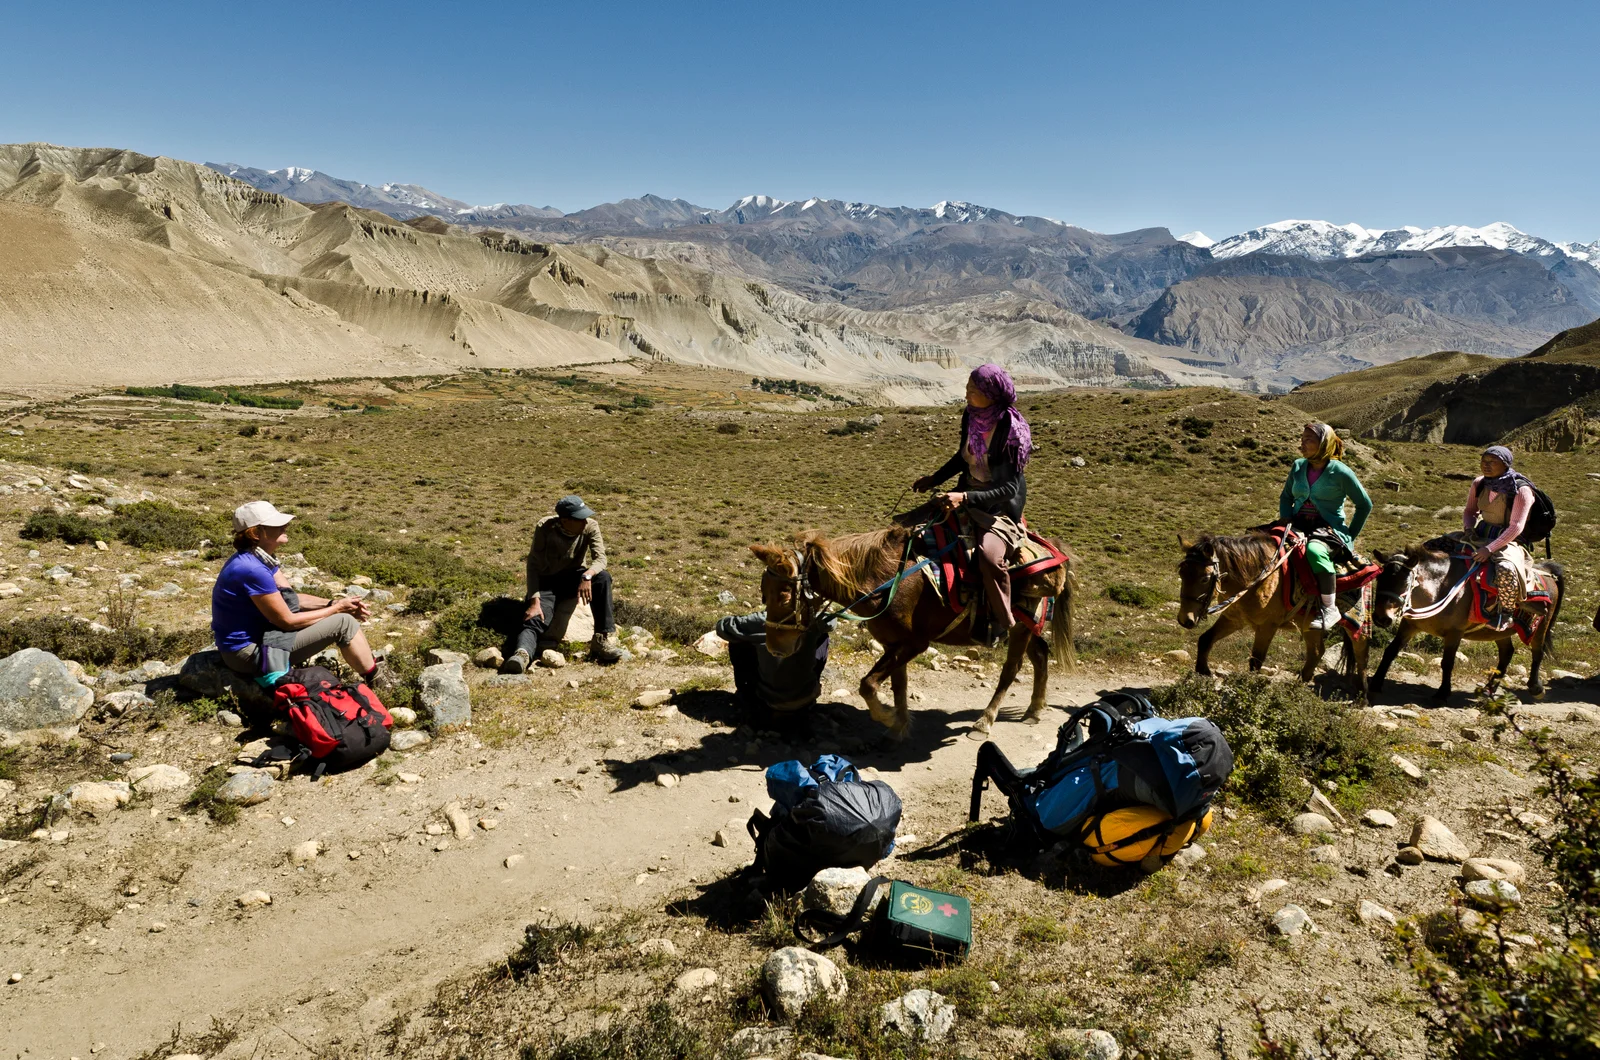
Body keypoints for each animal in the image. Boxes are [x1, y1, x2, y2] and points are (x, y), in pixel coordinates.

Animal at [748, 525, 1075, 742]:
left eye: (785, 596)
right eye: (763, 593)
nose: (775, 648)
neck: (882, 581)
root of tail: (1053, 551)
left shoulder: (915, 643)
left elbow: (868, 685)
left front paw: (888, 717)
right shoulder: (893, 644)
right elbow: (898, 684)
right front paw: (899, 726)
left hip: (1019, 626)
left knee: (1012, 669)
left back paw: (984, 722)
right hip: (1026, 624)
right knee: (1040, 656)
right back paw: (1033, 711)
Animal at [1171, 531, 1369, 698]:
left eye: (1205, 578)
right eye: (1181, 573)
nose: (1185, 619)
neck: (1259, 577)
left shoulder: (1267, 626)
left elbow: (1256, 661)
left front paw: (1247, 689)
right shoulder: (1234, 619)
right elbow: (1205, 639)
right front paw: (1202, 672)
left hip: (1357, 623)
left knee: (1361, 654)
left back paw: (1362, 696)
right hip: (1309, 625)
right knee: (1316, 652)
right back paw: (1295, 688)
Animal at [1363, 547, 1561, 704]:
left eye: (1404, 582)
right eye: (1379, 579)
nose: (1381, 618)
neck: (1439, 589)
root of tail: (1546, 572)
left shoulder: (1454, 633)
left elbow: (1447, 662)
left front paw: (1442, 693)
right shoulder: (1409, 626)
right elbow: (1390, 651)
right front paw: (1375, 683)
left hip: (1540, 627)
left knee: (1537, 652)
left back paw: (1535, 688)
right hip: (1498, 632)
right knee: (1507, 653)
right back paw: (1489, 688)